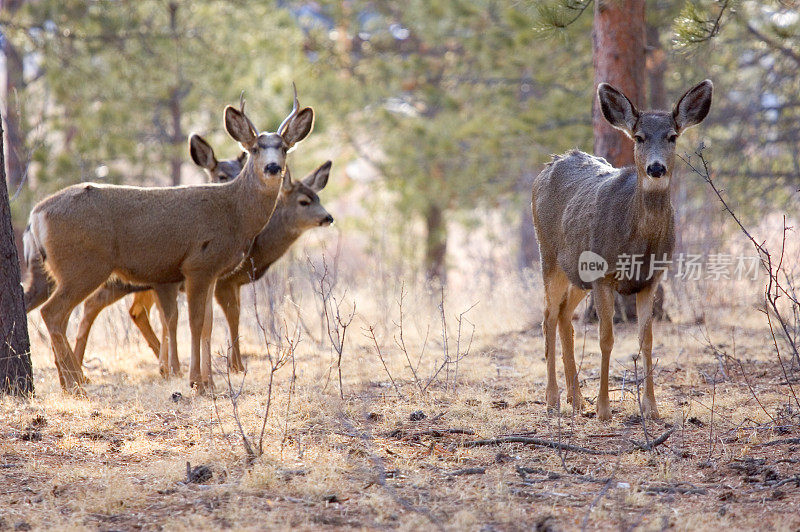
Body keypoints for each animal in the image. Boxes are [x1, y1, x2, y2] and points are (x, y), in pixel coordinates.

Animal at [25, 86, 312, 394]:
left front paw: (209, 382)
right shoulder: (198, 264)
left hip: (60, 271)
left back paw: (69, 380)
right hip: (84, 266)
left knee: (57, 313)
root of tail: (36, 213)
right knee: (53, 312)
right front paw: (196, 381)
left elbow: (209, 323)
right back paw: (75, 383)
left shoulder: (212, 273)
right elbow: (195, 322)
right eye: (255, 148)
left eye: (284, 148)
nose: (272, 168)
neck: (234, 214)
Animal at [532, 80, 712, 420]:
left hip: (579, 274)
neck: (639, 246)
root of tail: (550, 164)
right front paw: (604, 409)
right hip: (549, 255)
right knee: (548, 314)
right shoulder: (604, 276)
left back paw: (576, 400)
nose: (656, 168)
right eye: (639, 137)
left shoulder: (651, 279)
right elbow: (606, 338)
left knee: (564, 315)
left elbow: (648, 340)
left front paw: (651, 408)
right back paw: (552, 400)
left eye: (672, 136)